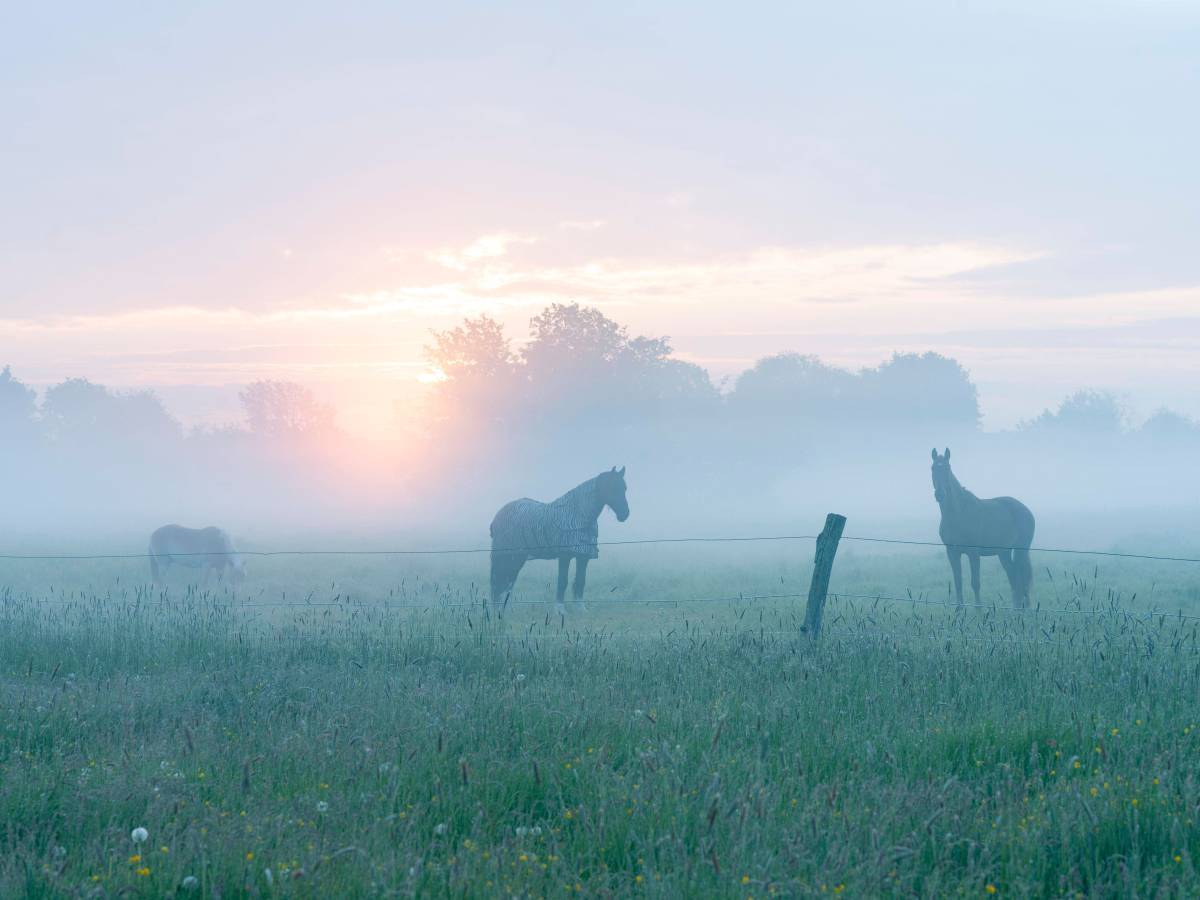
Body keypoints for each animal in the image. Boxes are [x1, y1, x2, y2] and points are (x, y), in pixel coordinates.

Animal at [489, 468, 633, 619]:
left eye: (624, 488)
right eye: (611, 487)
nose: (624, 514)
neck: (578, 515)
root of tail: (498, 515)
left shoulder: (583, 556)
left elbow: (580, 581)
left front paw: (580, 609)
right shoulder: (565, 556)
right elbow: (563, 581)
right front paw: (560, 610)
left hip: (517, 557)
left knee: (509, 581)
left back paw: (507, 610)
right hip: (507, 555)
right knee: (500, 581)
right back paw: (499, 610)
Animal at [931, 448, 1036, 609]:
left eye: (947, 468)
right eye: (933, 468)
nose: (940, 494)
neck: (958, 513)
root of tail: (1026, 510)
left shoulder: (973, 553)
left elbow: (975, 583)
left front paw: (979, 611)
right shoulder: (952, 552)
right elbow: (958, 582)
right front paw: (959, 611)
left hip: (1020, 550)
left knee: (1021, 576)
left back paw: (1025, 609)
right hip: (1004, 552)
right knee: (1013, 577)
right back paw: (1016, 609)